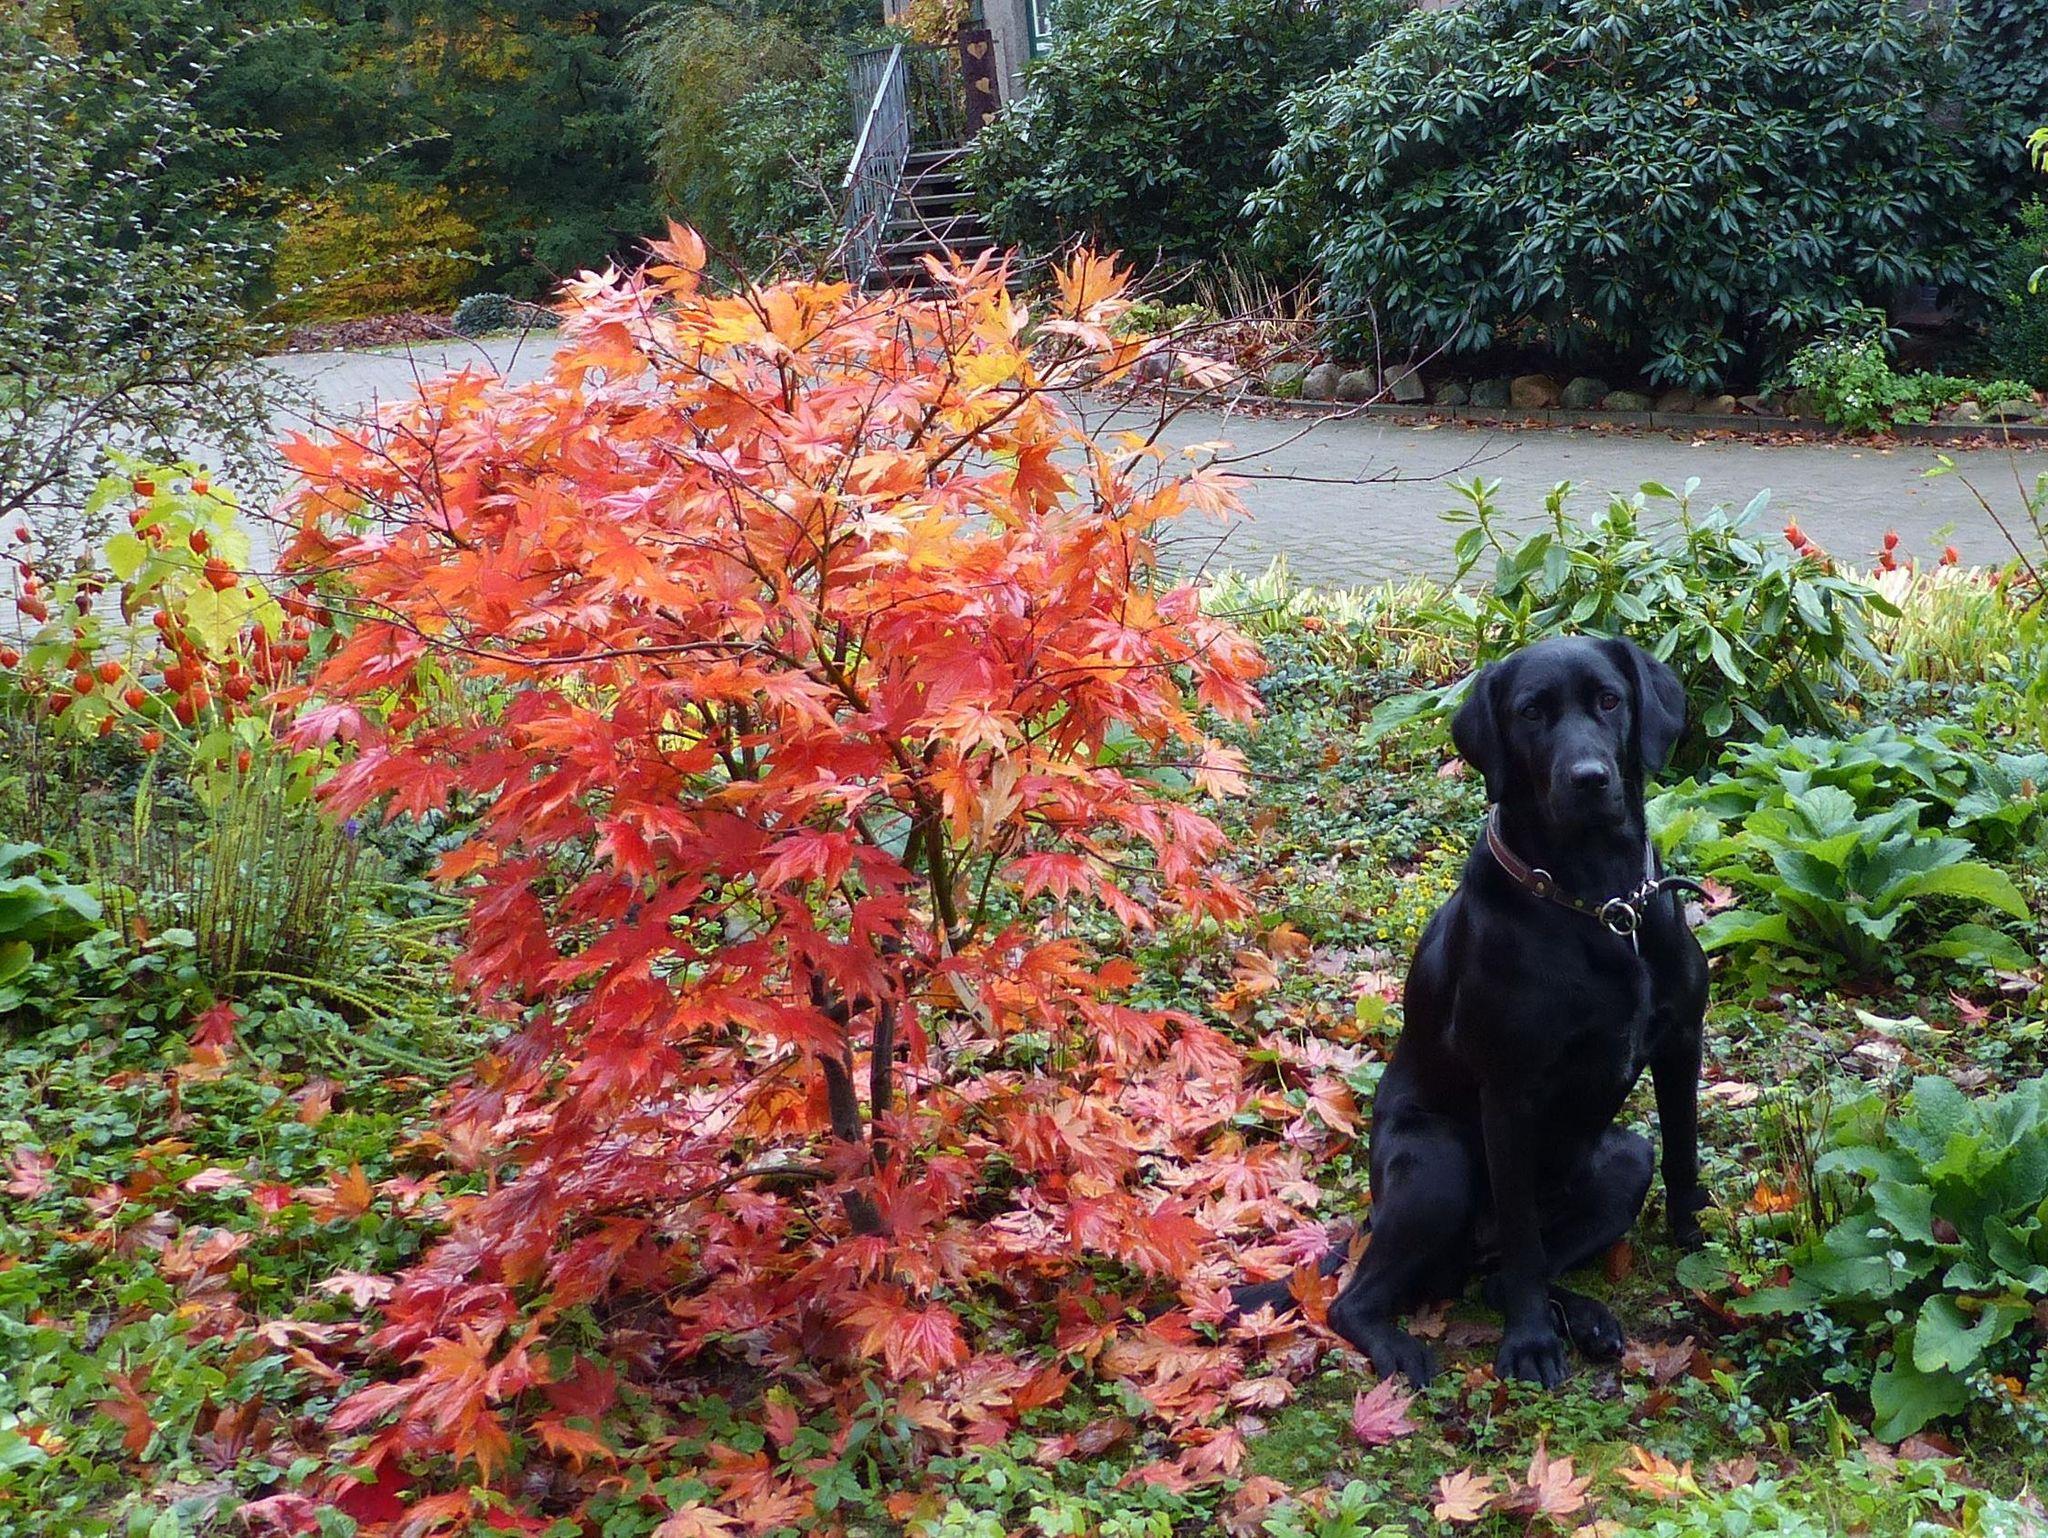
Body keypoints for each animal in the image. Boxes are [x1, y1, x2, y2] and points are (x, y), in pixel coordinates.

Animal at [1236, 635, 1709, 1386]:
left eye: (1610, 699)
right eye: (1531, 712)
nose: (1589, 779)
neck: (1598, 904)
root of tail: (1370, 1218)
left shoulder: (1680, 1041)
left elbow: (1685, 1155)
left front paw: (1694, 1243)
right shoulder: (1510, 1094)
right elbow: (1520, 1241)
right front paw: (1530, 1344)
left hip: (1623, 1159)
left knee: (1496, 1276)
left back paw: (1589, 1319)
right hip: (1439, 1168)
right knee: (1364, 1299)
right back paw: (1405, 1351)